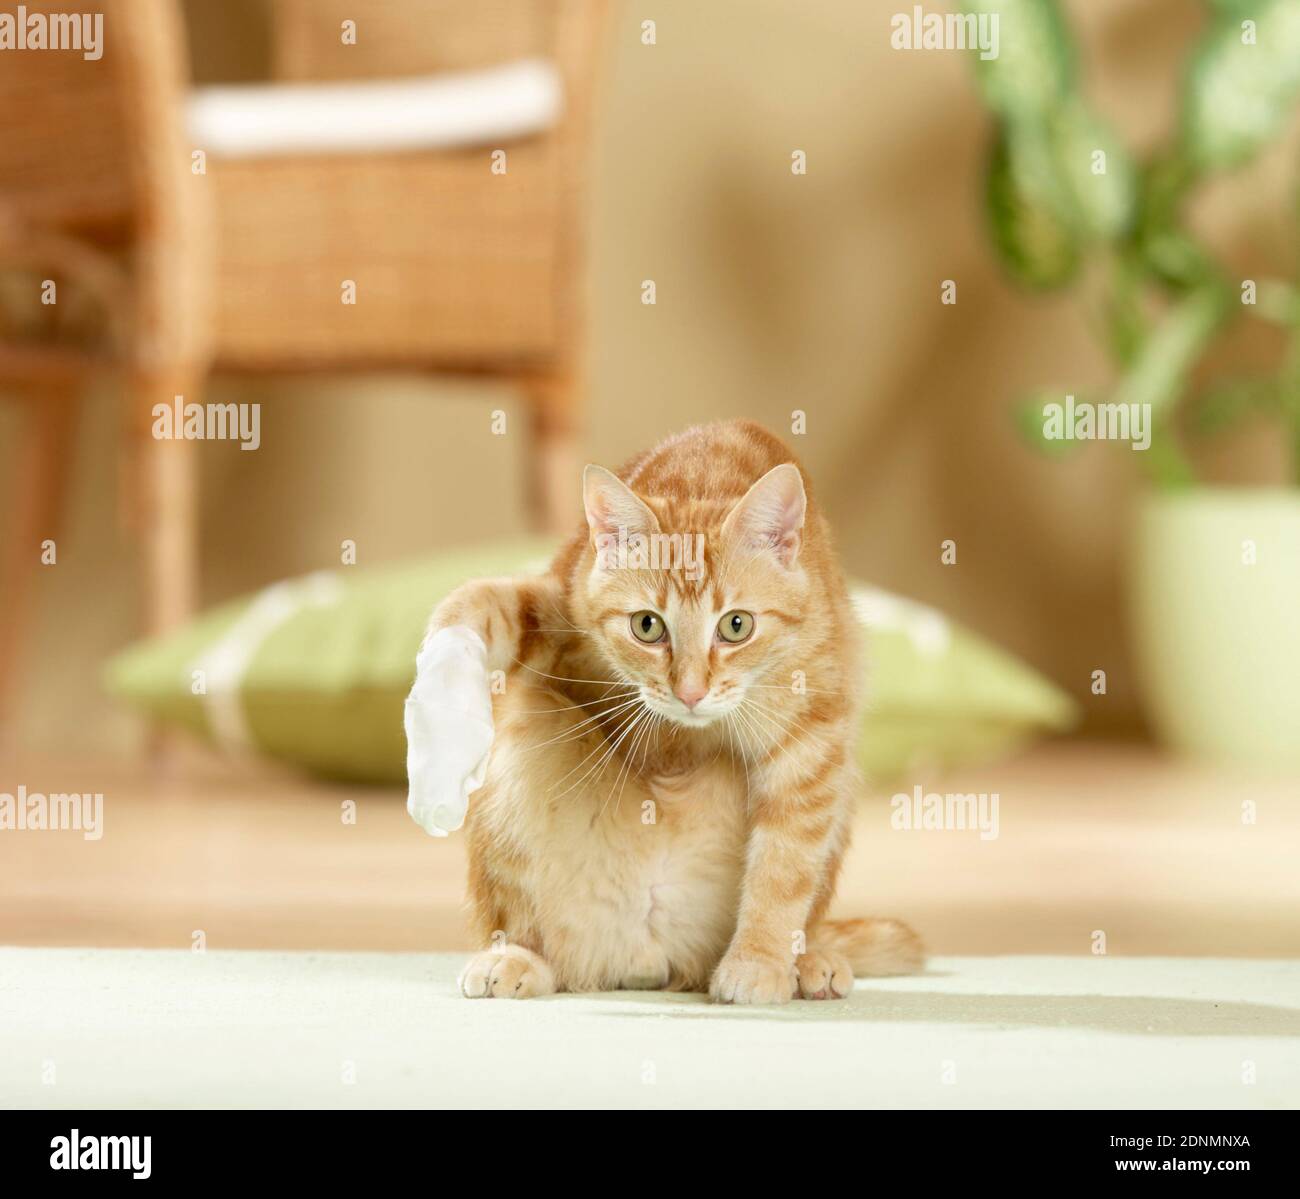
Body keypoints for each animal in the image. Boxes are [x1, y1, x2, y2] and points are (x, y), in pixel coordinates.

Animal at [421, 421, 920, 998]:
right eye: (647, 625)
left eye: (736, 625)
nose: (690, 692)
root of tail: (651, 953)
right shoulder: (560, 601)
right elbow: (483, 602)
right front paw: (441, 708)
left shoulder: (813, 741)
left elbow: (785, 866)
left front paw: (758, 960)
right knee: (554, 956)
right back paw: (519, 958)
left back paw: (810, 960)